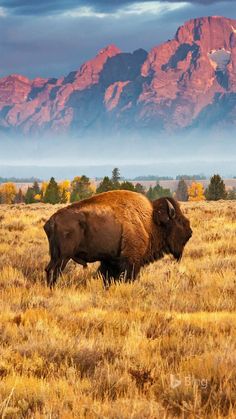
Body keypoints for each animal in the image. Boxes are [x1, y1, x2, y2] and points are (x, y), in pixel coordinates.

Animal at [43, 191, 192, 288]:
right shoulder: (131, 261)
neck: (150, 221)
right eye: (178, 220)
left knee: (48, 269)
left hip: (56, 255)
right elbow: (128, 277)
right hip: (63, 257)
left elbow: (106, 277)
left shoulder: (110, 261)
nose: (190, 232)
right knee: (55, 271)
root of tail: (51, 221)